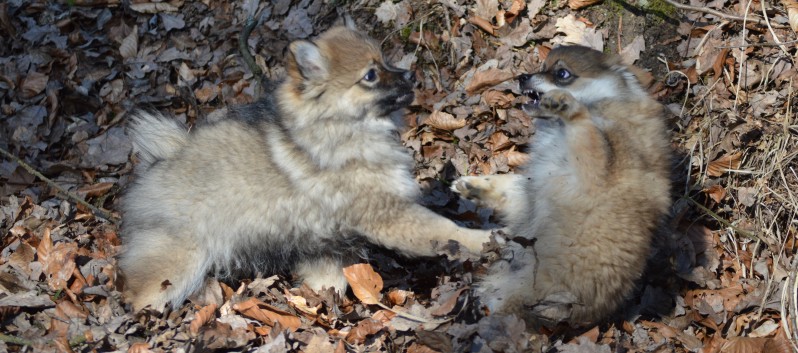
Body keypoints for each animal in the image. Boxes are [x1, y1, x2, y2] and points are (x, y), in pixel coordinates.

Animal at [454, 45, 672, 326]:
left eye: (561, 73)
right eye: (542, 67)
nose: (522, 77)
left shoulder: (593, 171)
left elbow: (585, 129)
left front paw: (569, 107)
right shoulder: (535, 186)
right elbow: (509, 186)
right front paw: (473, 186)